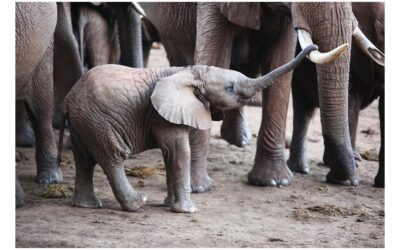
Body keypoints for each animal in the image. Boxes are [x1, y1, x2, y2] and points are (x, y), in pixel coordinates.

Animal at [58, 45, 316, 213]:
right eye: (230, 88)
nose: (312, 46)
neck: (189, 71)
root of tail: (68, 99)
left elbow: (170, 155)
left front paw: (168, 204)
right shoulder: (160, 115)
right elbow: (179, 152)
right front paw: (188, 210)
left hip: (84, 122)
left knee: (84, 159)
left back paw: (87, 205)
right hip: (98, 121)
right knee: (112, 158)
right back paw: (138, 203)